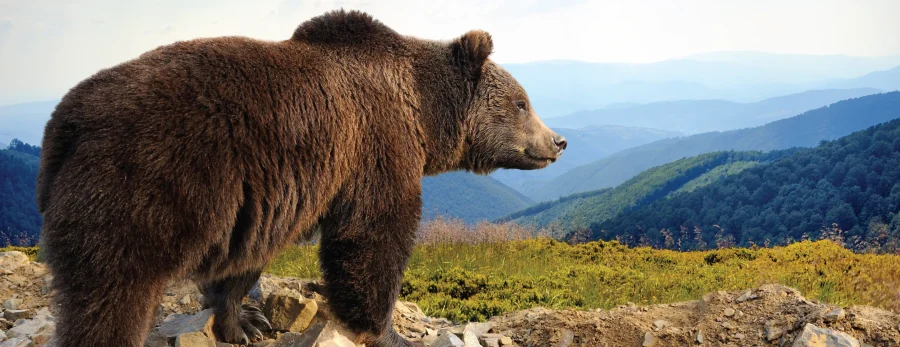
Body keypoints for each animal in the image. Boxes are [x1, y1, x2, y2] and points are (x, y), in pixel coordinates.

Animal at [38, 9, 568, 346]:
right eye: (522, 102)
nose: (558, 141)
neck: (423, 113)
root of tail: (65, 121)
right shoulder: (374, 146)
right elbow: (374, 236)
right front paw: (388, 331)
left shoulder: (267, 194)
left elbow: (246, 258)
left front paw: (245, 320)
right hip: (144, 185)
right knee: (113, 295)